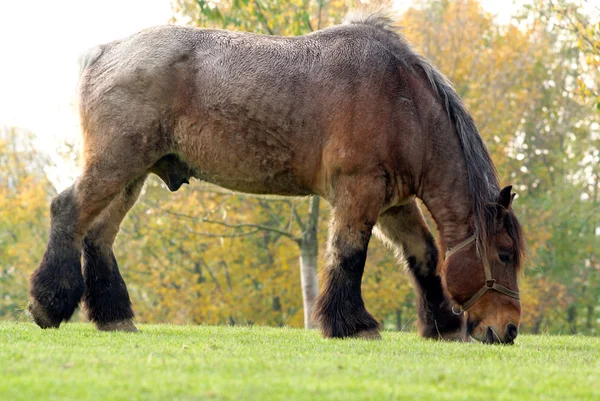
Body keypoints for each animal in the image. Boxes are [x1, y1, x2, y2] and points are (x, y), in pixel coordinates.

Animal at [28, 12, 524, 344]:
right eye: (503, 255)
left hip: (131, 177)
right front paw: (352, 324)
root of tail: (105, 52)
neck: (403, 102)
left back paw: (114, 316)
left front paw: (442, 325)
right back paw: (49, 303)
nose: (509, 329)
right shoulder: (359, 193)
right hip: (116, 165)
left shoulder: (392, 203)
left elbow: (424, 255)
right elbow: (349, 255)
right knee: (68, 210)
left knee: (97, 236)